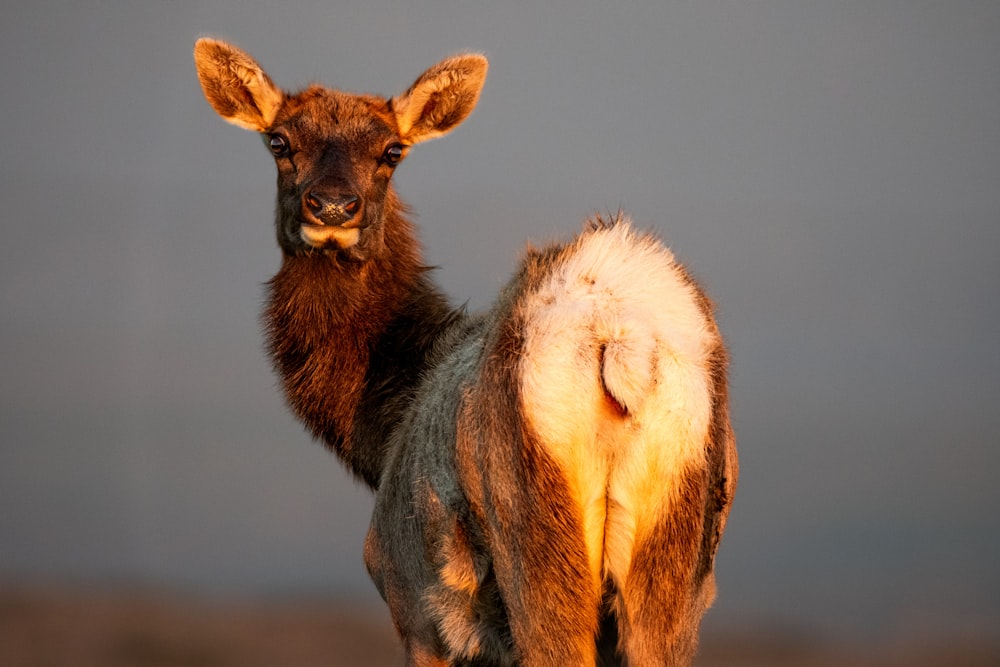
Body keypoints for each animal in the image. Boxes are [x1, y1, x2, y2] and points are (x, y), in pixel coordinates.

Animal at [195, 37, 736, 667]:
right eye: (279, 141)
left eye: (392, 150)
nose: (331, 207)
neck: (381, 426)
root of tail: (617, 334)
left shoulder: (412, 604)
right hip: (672, 568)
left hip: (536, 545)